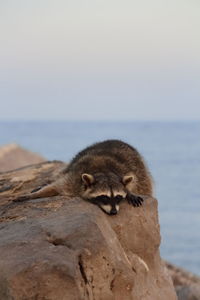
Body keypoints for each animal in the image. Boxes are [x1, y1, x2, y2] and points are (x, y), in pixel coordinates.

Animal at [12, 141, 153, 216]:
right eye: (104, 197)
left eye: (118, 197)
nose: (113, 212)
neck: (104, 172)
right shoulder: (73, 179)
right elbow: (56, 187)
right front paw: (33, 194)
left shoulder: (127, 172)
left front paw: (129, 192)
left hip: (142, 171)